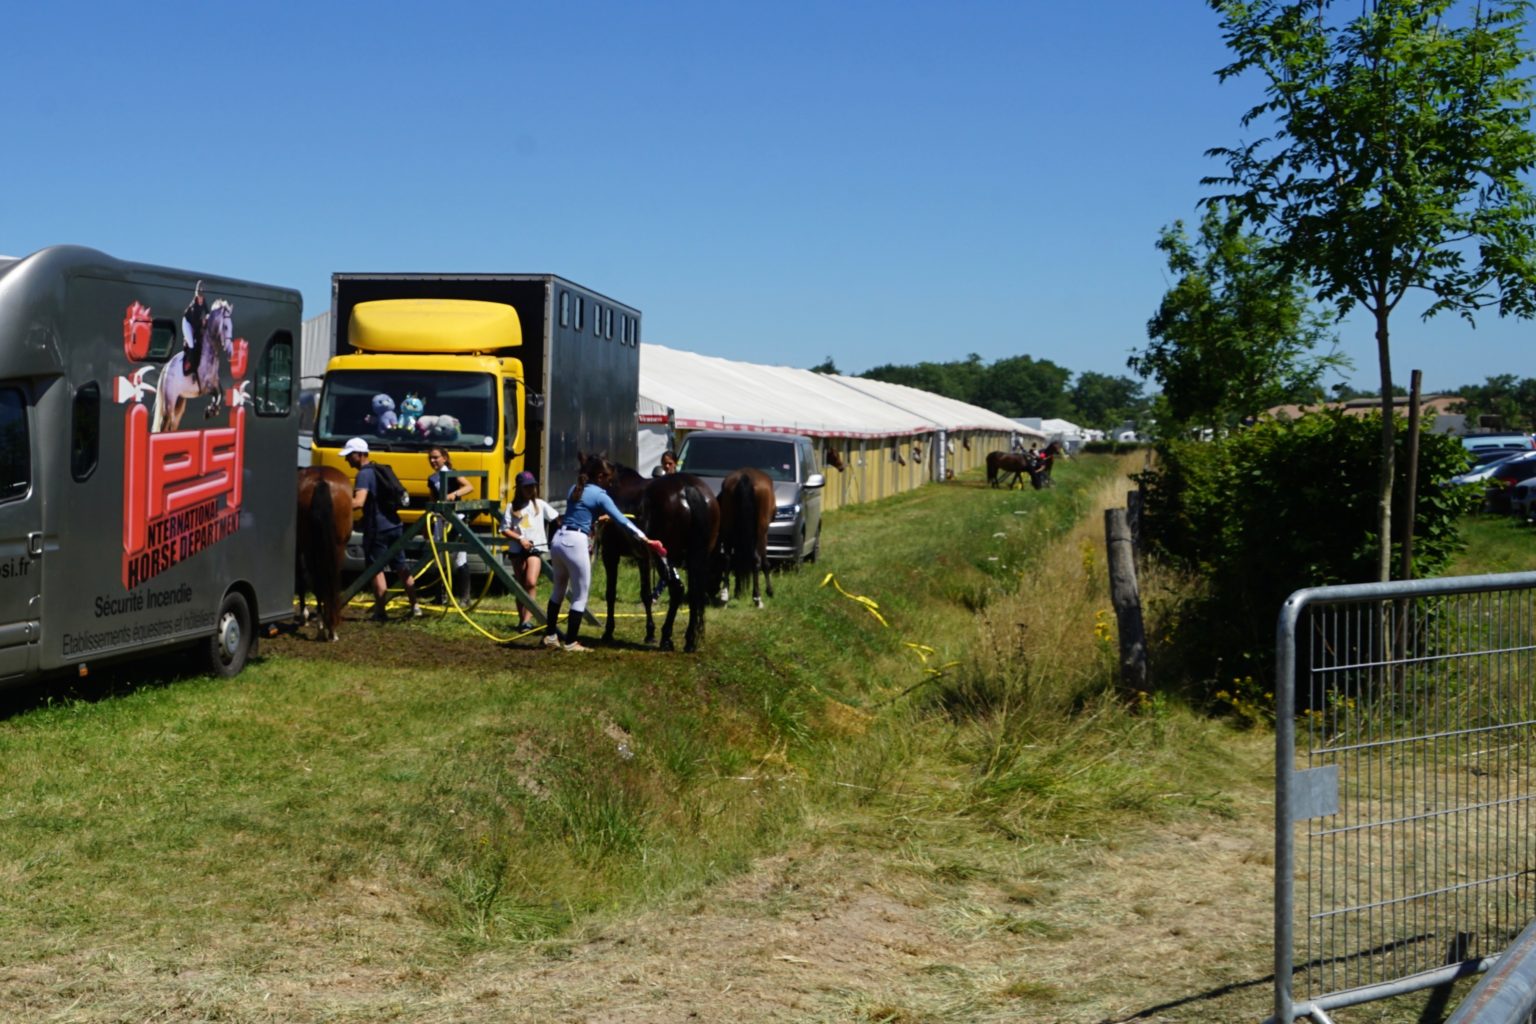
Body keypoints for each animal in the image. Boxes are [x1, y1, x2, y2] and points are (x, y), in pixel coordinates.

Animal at [154, 299, 234, 432]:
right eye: (226, 327)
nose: (230, 352)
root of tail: (167, 367)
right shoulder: (205, 387)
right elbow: (217, 395)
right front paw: (210, 411)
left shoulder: (215, 383)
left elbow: (220, 394)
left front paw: (212, 410)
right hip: (170, 401)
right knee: (164, 425)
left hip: (180, 401)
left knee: (172, 424)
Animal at [295, 466, 353, 641]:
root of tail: (321, 481)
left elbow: (300, 579)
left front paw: (304, 615)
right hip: (338, 547)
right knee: (330, 581)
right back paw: (331, 627)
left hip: (311, 548)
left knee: (318, 582)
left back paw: (322, 626)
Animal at [641, 472, 720, 653]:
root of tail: (688, 488)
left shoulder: (644, 556)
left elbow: (646, 594)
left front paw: (650, 633)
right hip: (695, 558)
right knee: (693, 593)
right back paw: (690, 640)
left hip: (662, 554)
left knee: (677, 589)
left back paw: (666, 638)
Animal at [717, 467, 775, 609]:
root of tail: (746, 476)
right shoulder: (763, 534)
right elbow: (765, 562)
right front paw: (769, 591)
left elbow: (738, 561)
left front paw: (737, 591)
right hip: (760, 532)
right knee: (756, 559)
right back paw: (757, 598)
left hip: (728, 528)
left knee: (728, 558)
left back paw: (724, 596)